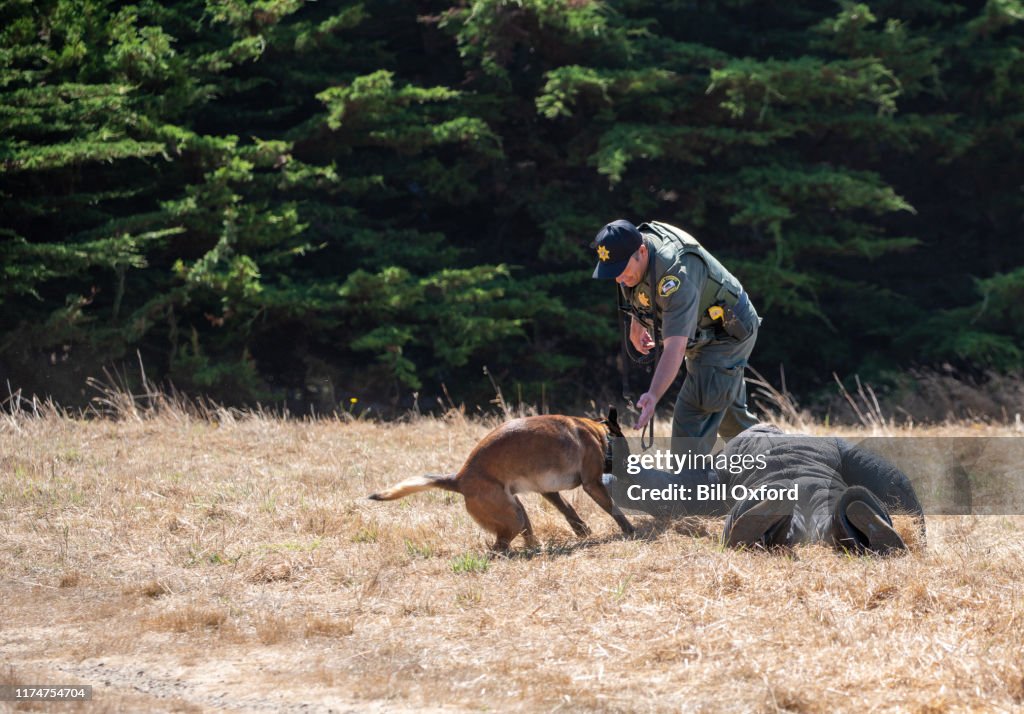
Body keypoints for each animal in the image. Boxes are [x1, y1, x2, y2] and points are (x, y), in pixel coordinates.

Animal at [370, 409, 630, 549]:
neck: (598, 434)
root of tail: (459, 479)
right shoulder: (592, 484)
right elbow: (614, 509)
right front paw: (631, 530)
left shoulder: (548, 491)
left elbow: (568, 510)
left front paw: (582, 531)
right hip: (512, 516)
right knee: (498, 548)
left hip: (517, 509)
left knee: (524, 535)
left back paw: (537, 548)